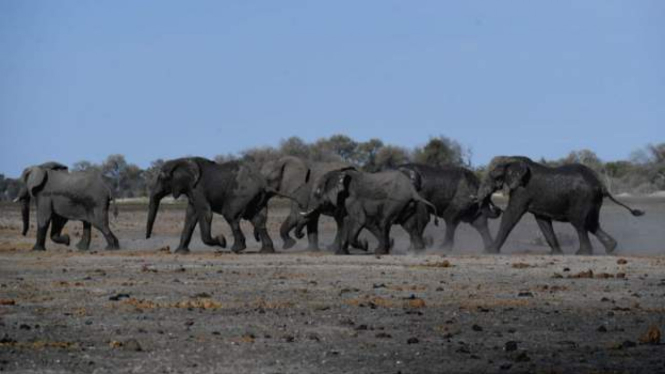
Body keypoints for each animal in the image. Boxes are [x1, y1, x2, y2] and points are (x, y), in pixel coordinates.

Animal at [147, 156, 276, 256]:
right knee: (258, 221)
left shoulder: (198, 189)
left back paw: (236, 249)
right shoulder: (192, 191)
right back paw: (266, 251)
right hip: (256, 199)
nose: (147, 237)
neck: (180, 160)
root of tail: (263, 184)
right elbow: (190, 217)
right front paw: (180, 252)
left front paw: (222, 240)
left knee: (230, 215)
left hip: (242, 194)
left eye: (162, 178)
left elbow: (206, 214)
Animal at [300, 169, 436, 254]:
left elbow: (360, 220)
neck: (338, 174)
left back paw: (380, 251)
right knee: (409, 226)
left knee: (385, 222)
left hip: (396, 200)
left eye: (317, 193)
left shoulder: (352, 198)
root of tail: (413, 190)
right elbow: (345, 221)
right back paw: (419, 252)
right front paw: (340, 253)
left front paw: (363, 246)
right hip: (406, 204)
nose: (301, 234)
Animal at [478, 156, 644, 256]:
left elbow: (510, 215)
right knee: (592, 223)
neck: (512, 159)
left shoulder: (521, 190)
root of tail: (601, 184)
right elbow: (543, 221)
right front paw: (556, 254)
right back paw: (611, 248)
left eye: (495, 177)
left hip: (581, 198)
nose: (496, 207)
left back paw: (582, 253)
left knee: (579, 223)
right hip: (593, 201)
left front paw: (490, 251)